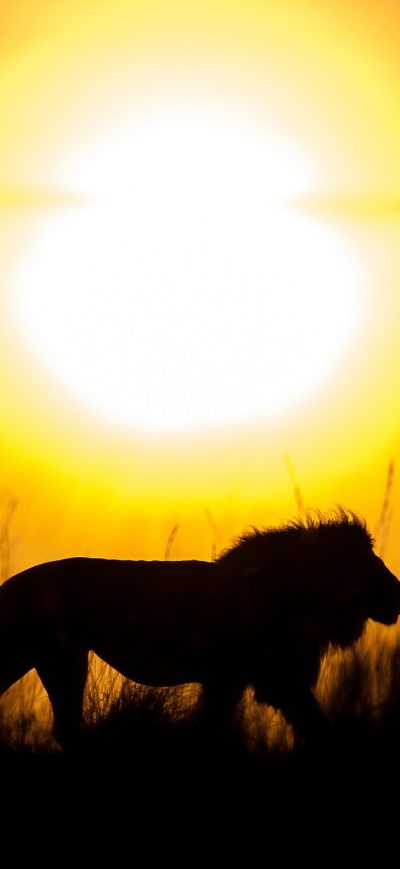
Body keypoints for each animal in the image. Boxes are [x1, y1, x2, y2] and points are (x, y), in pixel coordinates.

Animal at [0, 508, 398, 750]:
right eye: (367, 563)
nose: (396, 591)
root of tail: (10, 586)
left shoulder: (235, 679)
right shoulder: (263, 678)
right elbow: (310, 724)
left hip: (53, 657)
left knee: (65, 728)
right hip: (54, 654)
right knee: (66, 728)